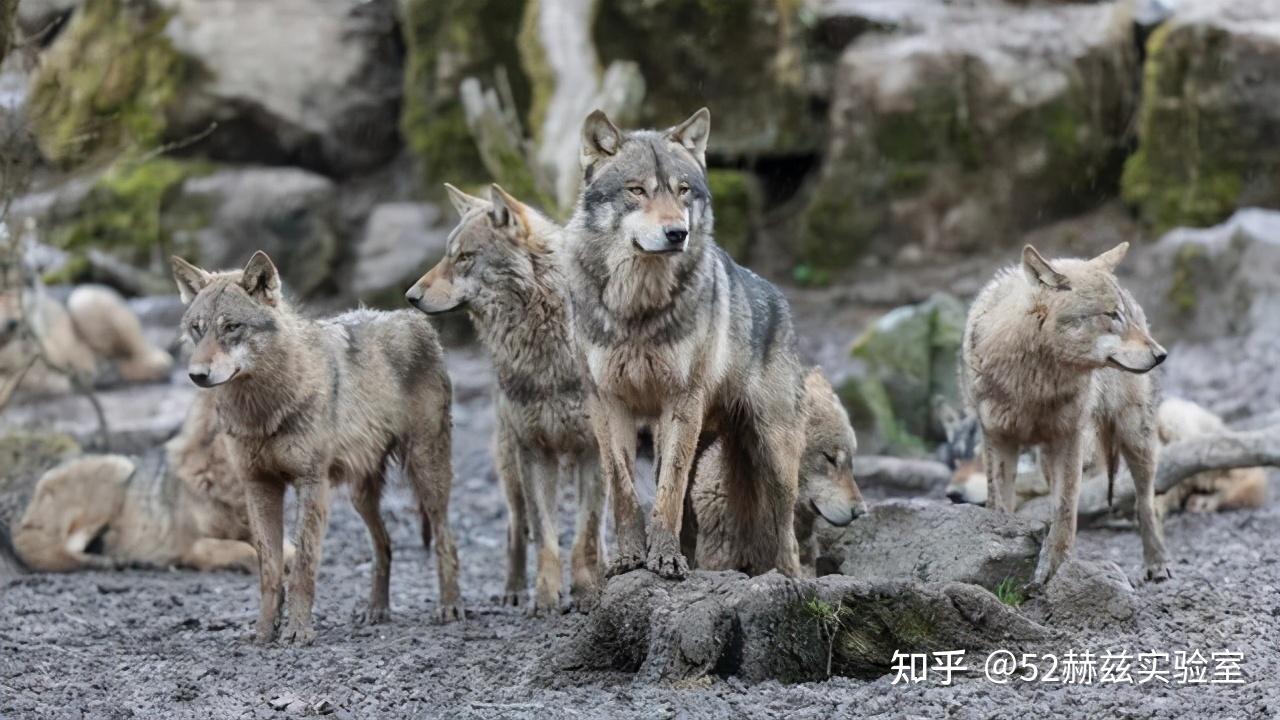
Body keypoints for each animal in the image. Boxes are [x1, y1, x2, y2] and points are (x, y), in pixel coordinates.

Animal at [172, 249, 463, 640]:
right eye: (197, 328)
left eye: (232, 327)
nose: (197, 375)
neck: (264, 409)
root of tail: (413, 320)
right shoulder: (259, 486)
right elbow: (269, 569)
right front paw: (264, 633)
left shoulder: (312, 484)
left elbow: (303, 566)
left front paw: (298, 631)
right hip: (360, 495)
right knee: (384, 546)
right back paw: (376, 610)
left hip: (426, 473)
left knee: (447, 539)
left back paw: (450, 607)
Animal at [409, 181, 609, 614]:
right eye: (447, 254)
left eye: (464, 258)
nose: (410, 296)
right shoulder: (533, 449)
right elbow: (546, 537)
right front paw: (545, 597)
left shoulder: (595, 450)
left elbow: (584, 534)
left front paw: (588, 590)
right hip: (511, 464)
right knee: (516, 527)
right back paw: (515, 590)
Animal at [565, 106, 803, 576]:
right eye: (637, 190)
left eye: (683, 191)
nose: (677, 233)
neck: (638, 309)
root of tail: (778, 298)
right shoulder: (607, 402)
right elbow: (624, 490)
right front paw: (630, 558)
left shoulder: (680, 401)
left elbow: (667, 492)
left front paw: (664, 560)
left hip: (773, 454)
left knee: (788, 533)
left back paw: (790, 578)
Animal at [962, 242, 1172, 589]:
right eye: (1112, 315)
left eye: (1124, 316)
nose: (1161, 354)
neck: (1035, 384)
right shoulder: (997, 439)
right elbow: (1000, 505)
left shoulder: (1070, 438)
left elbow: (1064, 510)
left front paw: (1053, 571)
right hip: (1048, 458)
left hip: (1135, 438)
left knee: (1146, 501)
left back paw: (1157, 563)